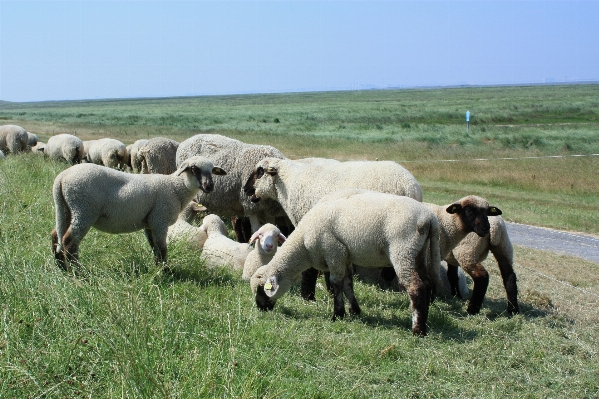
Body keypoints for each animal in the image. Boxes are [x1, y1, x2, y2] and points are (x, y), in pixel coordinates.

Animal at [49, 155, 226, 270]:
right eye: (195, 169)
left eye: (212, 170)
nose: (209, 187)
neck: (175, 187)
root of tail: (61, 177)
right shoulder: (159, 220)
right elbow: (162, 248)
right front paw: (165, 272)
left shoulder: (150, 223)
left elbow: (155, 248)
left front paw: (158, 268)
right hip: (84, 209)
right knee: (69, 241)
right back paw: (78, 273)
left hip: (66, 209)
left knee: (56, 236)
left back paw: (62, 268)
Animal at [251, 191, 442, 338]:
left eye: (262, 288)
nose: (260, 308)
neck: (302, 243)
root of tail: (429, 218)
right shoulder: (345, 256)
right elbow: (348, 283)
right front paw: (354, 310)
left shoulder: (334, 251)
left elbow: (336, 283)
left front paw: (338, 314)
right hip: (418, 252)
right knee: (426, 284)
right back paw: (425, 321)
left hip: (402, 249)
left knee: (416, 287)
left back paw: (417, 330)